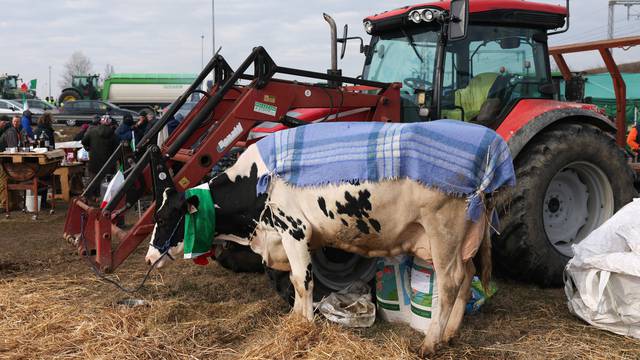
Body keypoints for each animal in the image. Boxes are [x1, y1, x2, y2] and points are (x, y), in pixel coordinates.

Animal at [146, 143, 496, 354]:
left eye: (162, 217)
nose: (149, 257)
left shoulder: (295, 231)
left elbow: (303, 282)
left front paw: (305, 326)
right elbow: (297, 283)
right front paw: (295, 319)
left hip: (442, 231)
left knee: (450, 283)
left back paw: (431, 342)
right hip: (458, 241)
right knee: (467, 275)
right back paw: (449, 333)